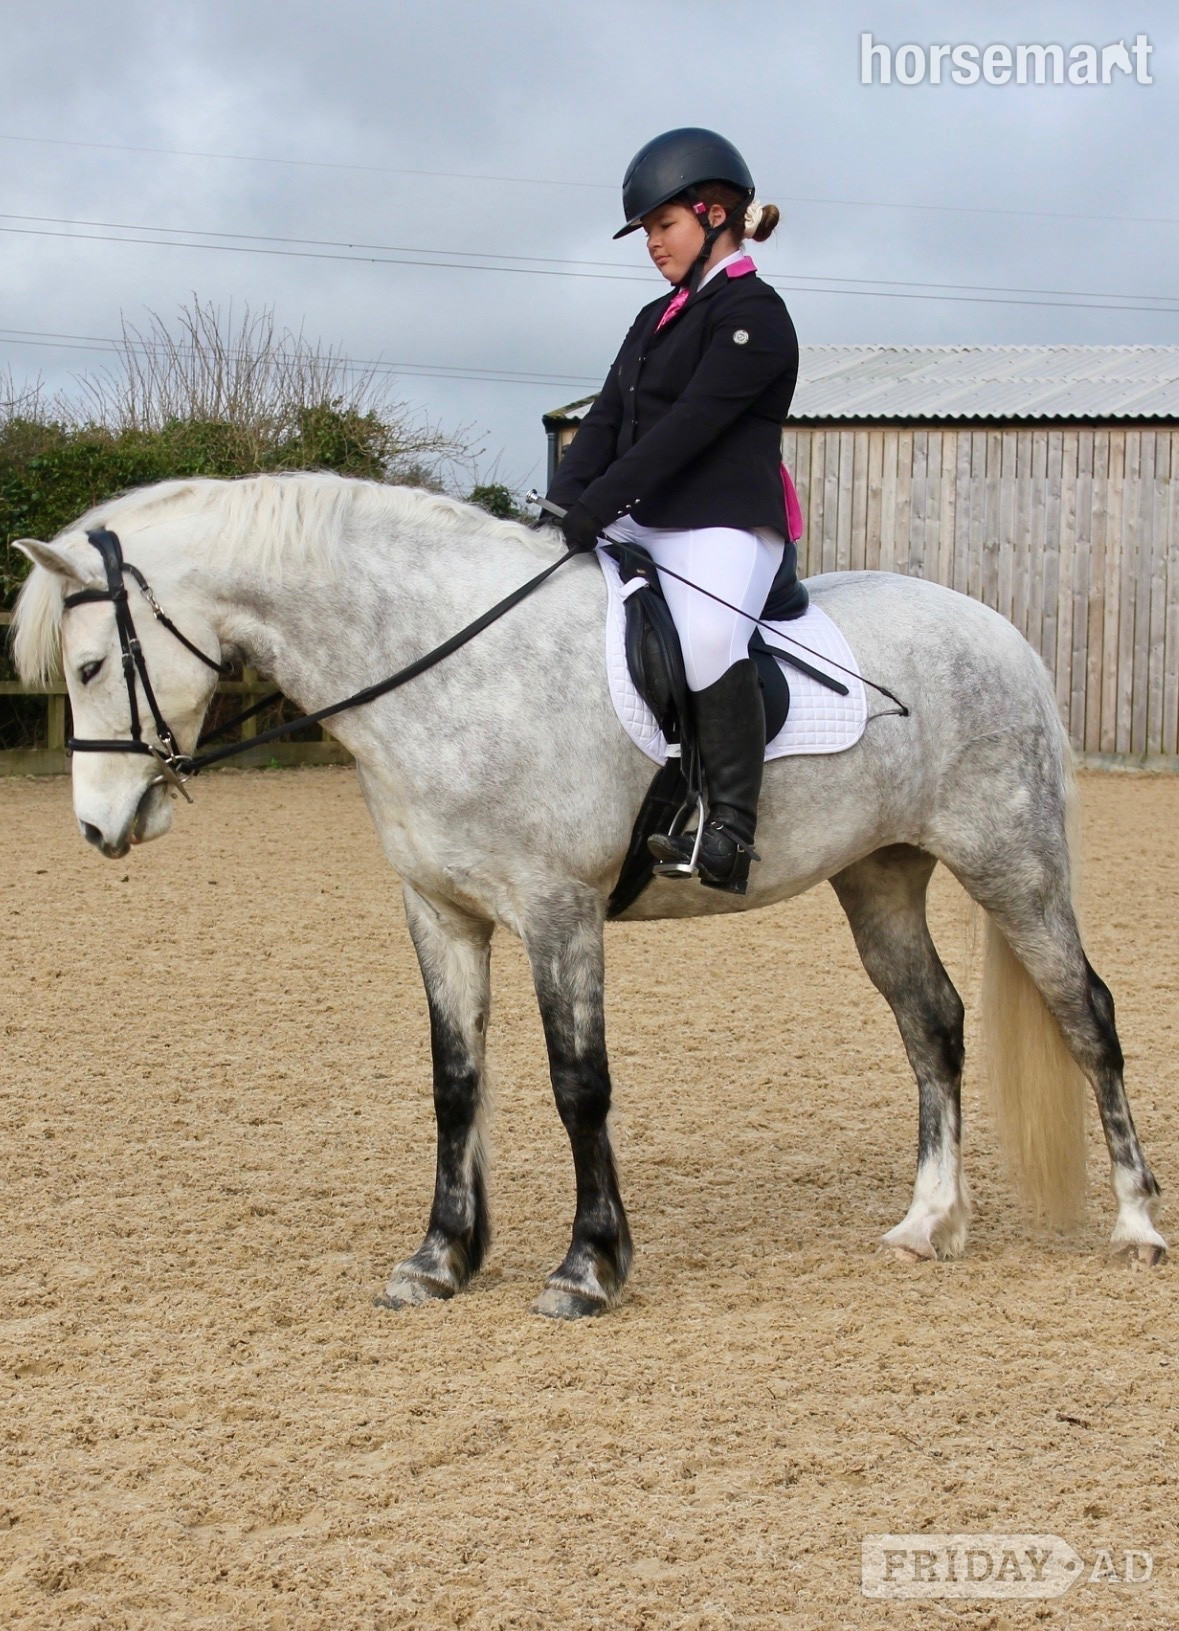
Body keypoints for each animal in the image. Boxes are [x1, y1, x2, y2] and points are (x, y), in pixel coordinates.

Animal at [12, 471, 1166, 1318]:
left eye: (93, 663)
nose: (99, 828)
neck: (446, 667)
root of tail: (998, 630)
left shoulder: (556, 910)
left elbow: (579, 1085)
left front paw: (587, 1266)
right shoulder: (439, 910)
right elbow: (456, 1083)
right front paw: (439, 1259)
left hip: (1013, 865)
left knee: (1088, 1015)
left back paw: (1137, 1225)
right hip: (878, 876)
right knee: (932, 1023)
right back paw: (928, 1224)